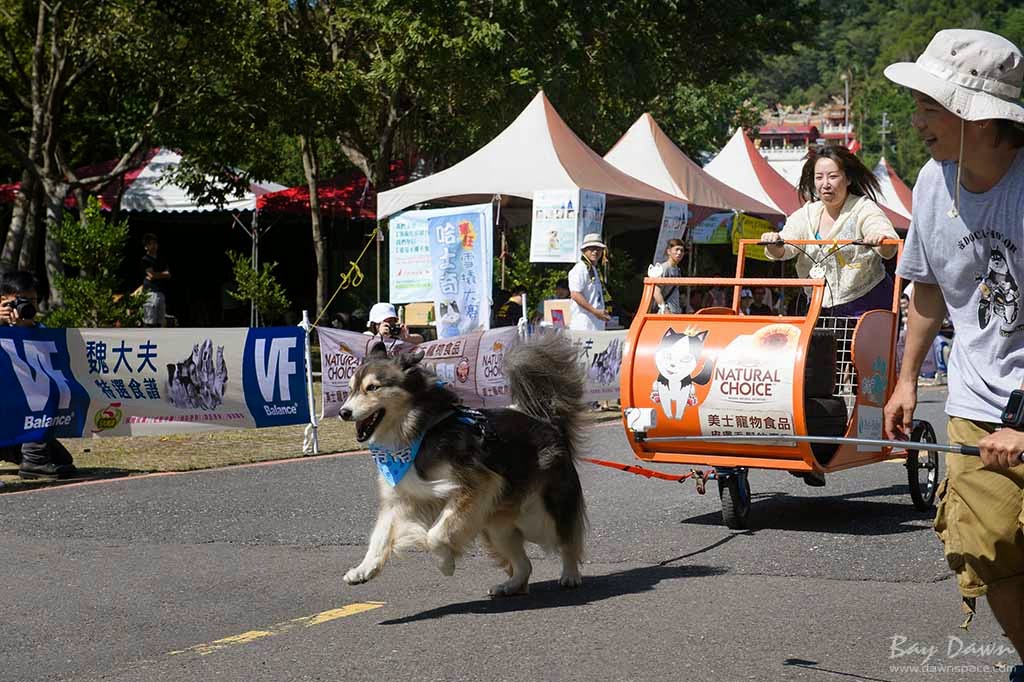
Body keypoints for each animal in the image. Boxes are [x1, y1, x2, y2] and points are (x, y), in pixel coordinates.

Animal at [339, 333, 589, 593]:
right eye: (350, 389)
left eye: (372, 388)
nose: (343, 412)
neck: (421, 431)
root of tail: (547, 421)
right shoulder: (402, 496)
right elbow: (380, 536)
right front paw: (363, 569)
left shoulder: (475, 485)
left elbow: (435, 535)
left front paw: (445, 563)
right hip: (497, 525)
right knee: (524, 563)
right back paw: (510, 585)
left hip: (540, 513)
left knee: (566, 539)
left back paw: (570, 574)